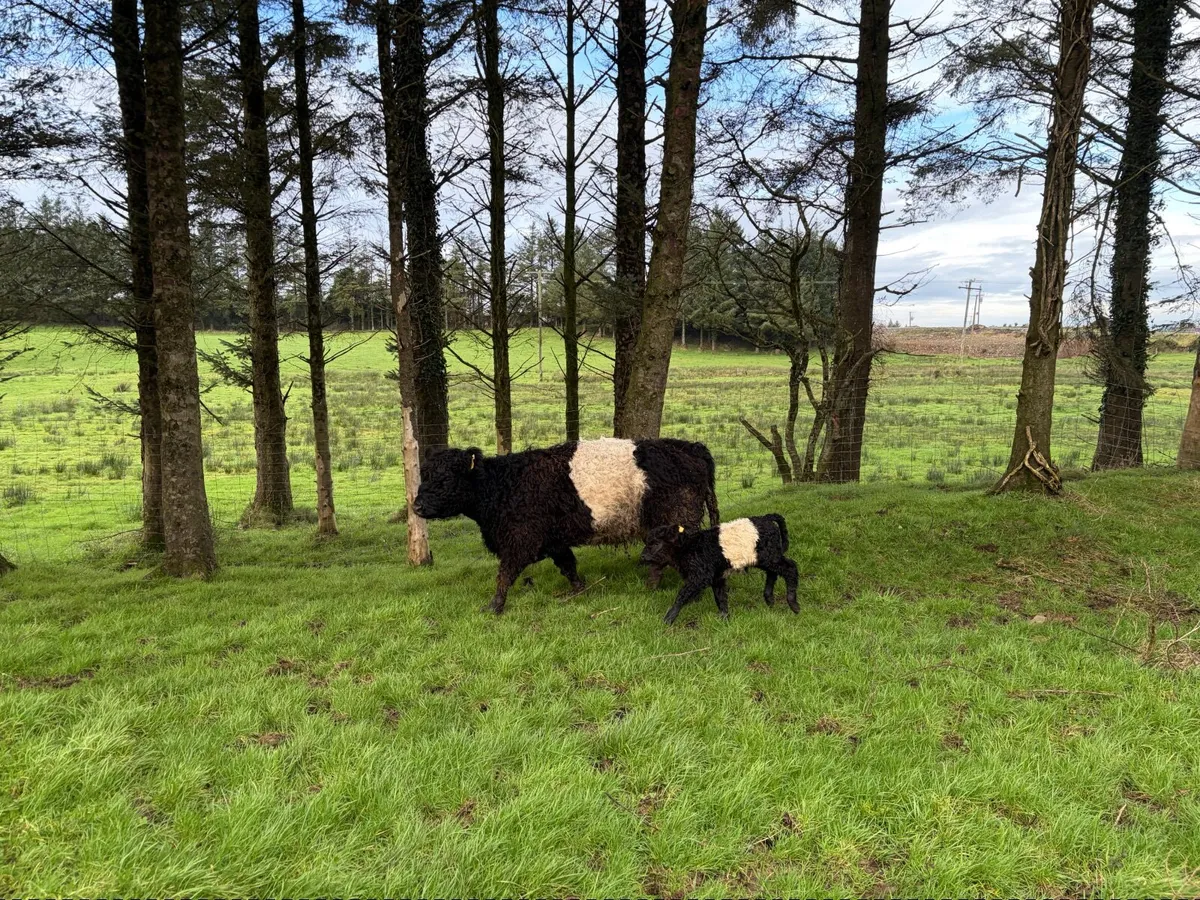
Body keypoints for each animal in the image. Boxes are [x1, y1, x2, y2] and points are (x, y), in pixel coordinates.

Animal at [413, 437, 719, 613]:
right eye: (424, 475)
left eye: (445, 479)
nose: (416, 507)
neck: (504, 485)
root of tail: (690, 446)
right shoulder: (554, 542)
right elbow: (569, 566)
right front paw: (579, 590)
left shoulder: (519, 541)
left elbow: (504, 575)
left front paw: (494, 607)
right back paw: (651, 587)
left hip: (677, 521)